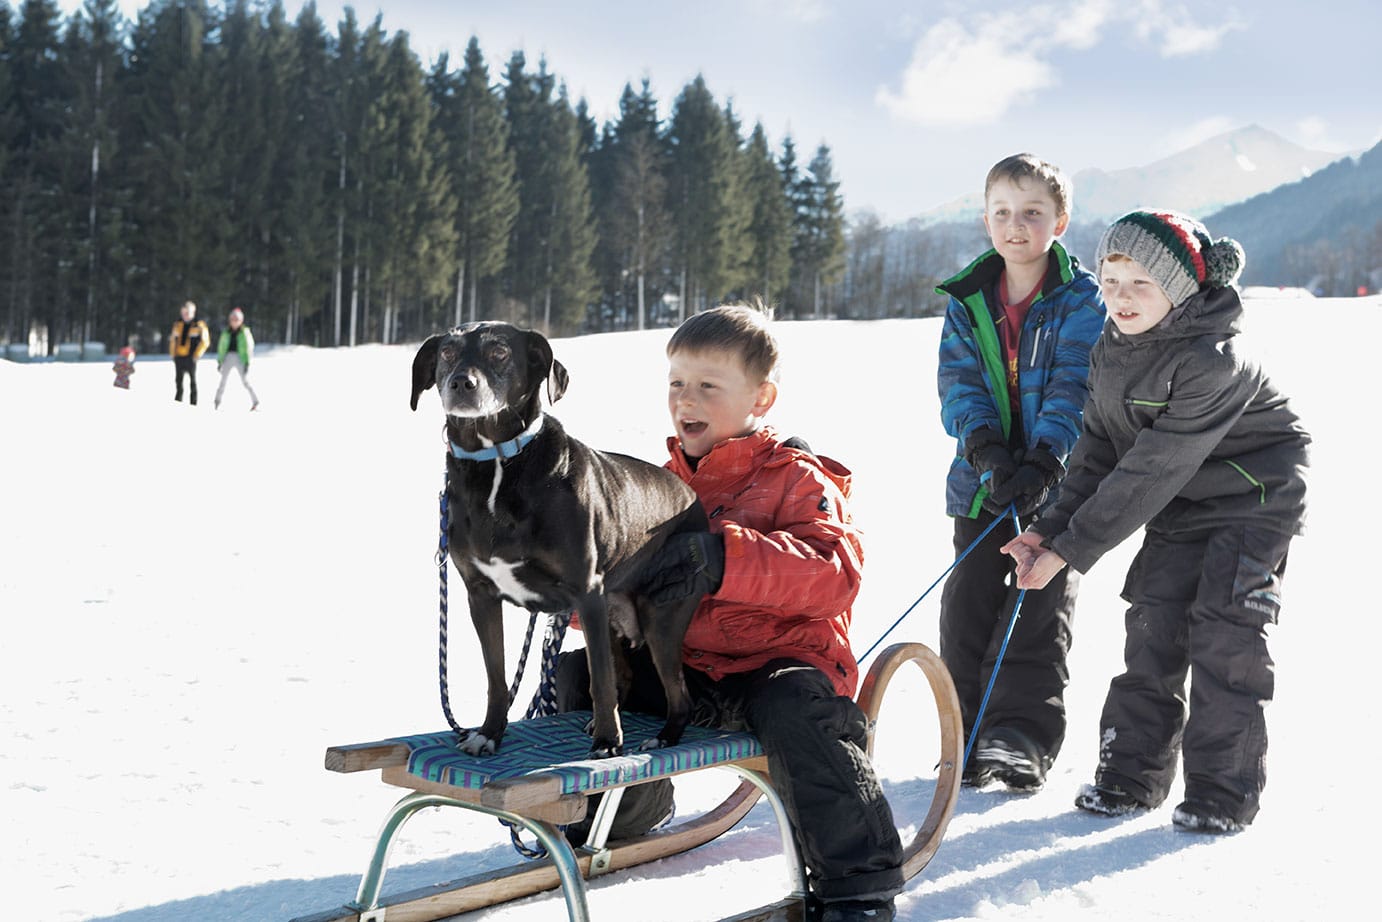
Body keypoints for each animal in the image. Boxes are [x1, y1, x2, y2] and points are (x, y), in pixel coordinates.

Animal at [406, 324, 707, 757]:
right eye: (447, 351)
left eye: (499, 352)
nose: (461, 383)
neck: (496, 463)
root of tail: (691, 497)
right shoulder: (481, 594)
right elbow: (497, 678)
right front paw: (489, 733)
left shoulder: (586, 590)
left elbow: (599, 680)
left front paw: (607, 742)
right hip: (614, 612)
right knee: (625, 675)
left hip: (661, 615)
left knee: (676, 689)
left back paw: (664, 734)